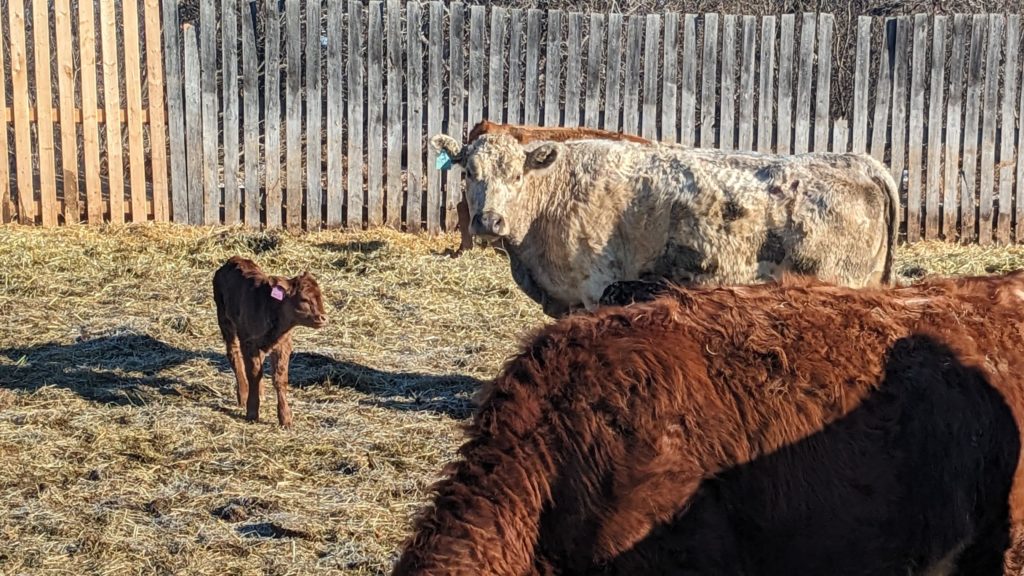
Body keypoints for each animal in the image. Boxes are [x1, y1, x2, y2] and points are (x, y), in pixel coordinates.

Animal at [212, 255, 327, 426]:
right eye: (304, 299)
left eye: (320, 297)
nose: (323, 318)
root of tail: (233, 260)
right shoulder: (249, 343)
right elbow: (253, 374)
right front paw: (252, 412)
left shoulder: (283, 345)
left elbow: (280, 378)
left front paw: (285, 418)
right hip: (225, 319)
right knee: (233, 353)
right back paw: (243, 396)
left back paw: (261, 393)